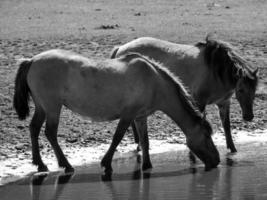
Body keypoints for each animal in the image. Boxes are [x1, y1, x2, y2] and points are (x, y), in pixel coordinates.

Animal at [13, 49, 221, 173]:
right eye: (207, 136)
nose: (217, 161)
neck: (153, 81)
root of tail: (32, 60)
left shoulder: (140, 117)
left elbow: (145, 141)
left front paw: (147, 166)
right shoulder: (128, 115)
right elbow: (118, 137)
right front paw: (106, 163)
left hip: (42, 107)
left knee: (34, 129)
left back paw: (40, 164)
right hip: (52, 107)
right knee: (50, 133)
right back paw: (66, 165)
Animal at [111, 35, 260, 154]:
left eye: (254, 90)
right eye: (241, 90)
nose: (248, 116)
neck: (215, 71)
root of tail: (121, 48)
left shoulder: (224, 103)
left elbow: (227, 126)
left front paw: (233, 149)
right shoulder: (199, 101)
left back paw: (138, 144)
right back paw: (138, 145)